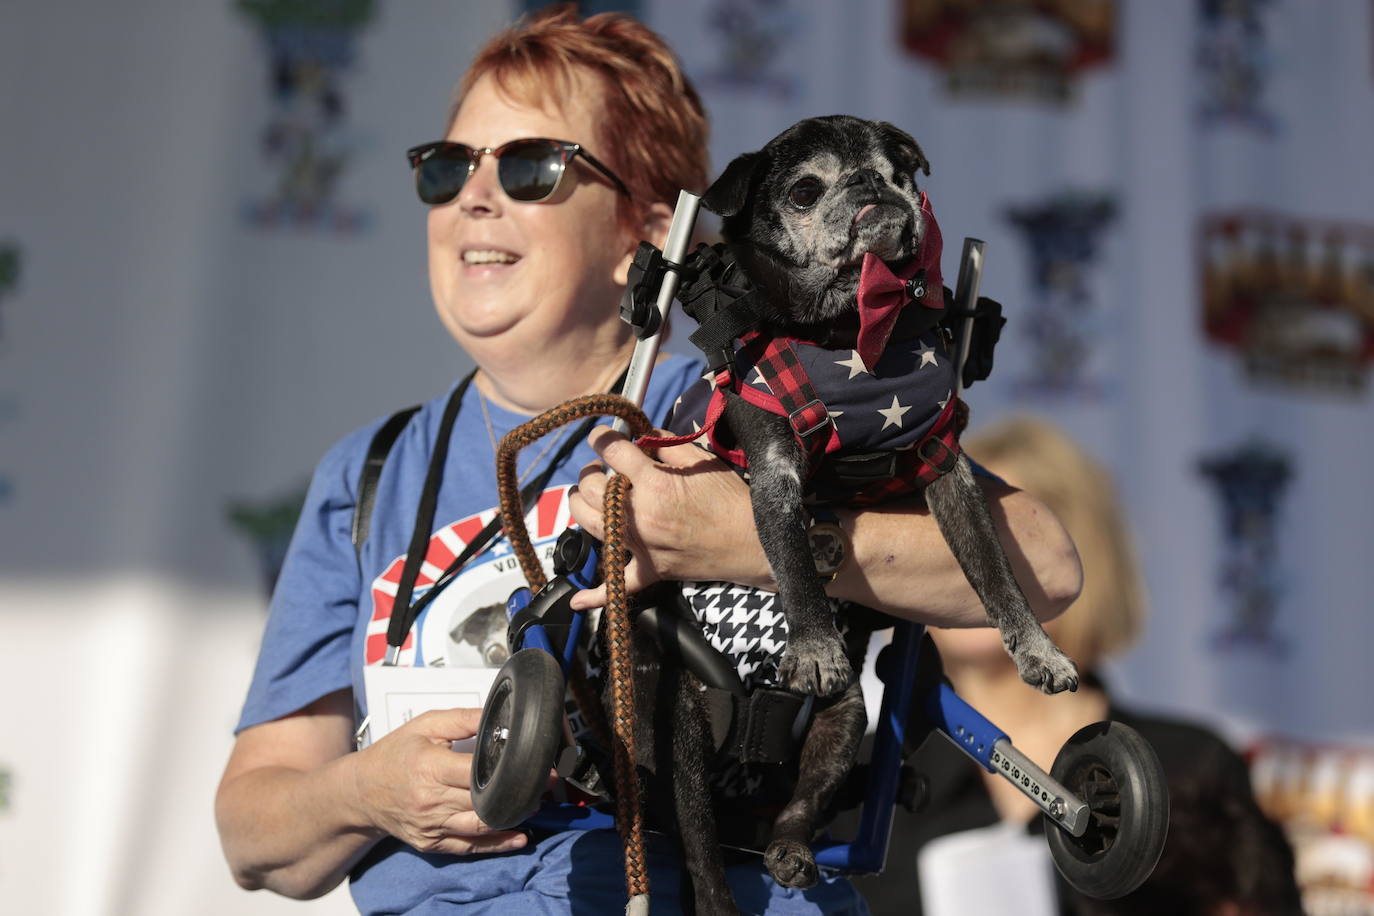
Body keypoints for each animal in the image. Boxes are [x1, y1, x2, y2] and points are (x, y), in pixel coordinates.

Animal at [643, 118, 1082, 911]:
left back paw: (789, 850)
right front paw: (815, 644)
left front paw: (1037, 650)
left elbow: (995, 573)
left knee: (801, 806)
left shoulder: (946, 469)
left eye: (896, 172)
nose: (871, 188)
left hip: (845, 721)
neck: (849, 330)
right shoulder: (775, 474)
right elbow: (790, 564)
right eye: (803, 190)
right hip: (680, 725)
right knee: (700, 853)